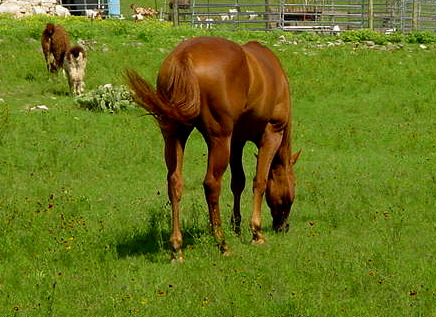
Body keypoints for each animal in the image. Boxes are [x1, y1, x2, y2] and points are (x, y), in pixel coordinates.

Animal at [124, 35, 298, 260]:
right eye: (293, 186)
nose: (284, 227)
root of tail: (184, 56)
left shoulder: (236, 141)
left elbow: (238, 182)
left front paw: (237, 226)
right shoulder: (270, 135)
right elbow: (259, 181)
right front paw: (255, 232)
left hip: (175, 135)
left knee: (174, 183)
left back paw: (177, 247)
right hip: (219, 139)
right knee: (211, 185)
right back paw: (222, 242)